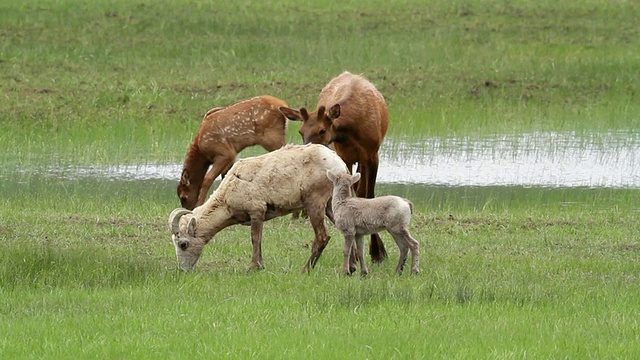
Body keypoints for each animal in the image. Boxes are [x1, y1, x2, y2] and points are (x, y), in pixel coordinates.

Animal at [168, 143, 348, 272]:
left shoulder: (256, 212)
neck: (227, 195)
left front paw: (254, 267)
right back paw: (350, 269)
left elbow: (255, 238)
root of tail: (339, 164)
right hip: (330, 206)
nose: (183, 270)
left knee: (322, 237)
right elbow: (259, 239)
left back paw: (305, 270)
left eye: (183, 244)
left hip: (315, 203)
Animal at [278, 71, 388, 262]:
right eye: (300, 131)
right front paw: (357, 254)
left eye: (322, 130)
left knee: (362, 190)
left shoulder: (373, 154)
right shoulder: (345, 155)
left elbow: (369, 195)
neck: (352, 130)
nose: (306, 148)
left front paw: (377, 252)